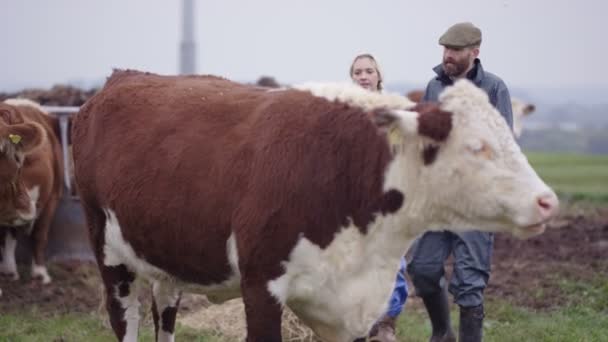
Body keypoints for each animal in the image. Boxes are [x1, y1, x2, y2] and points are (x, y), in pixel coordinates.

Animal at [73, 70, 560, 342]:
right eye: (478, 147)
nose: (547, 201)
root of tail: (120, 78)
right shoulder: (261, 286)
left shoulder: (345, 307)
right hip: (109, 254)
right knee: (126, 320)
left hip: (167, 260)